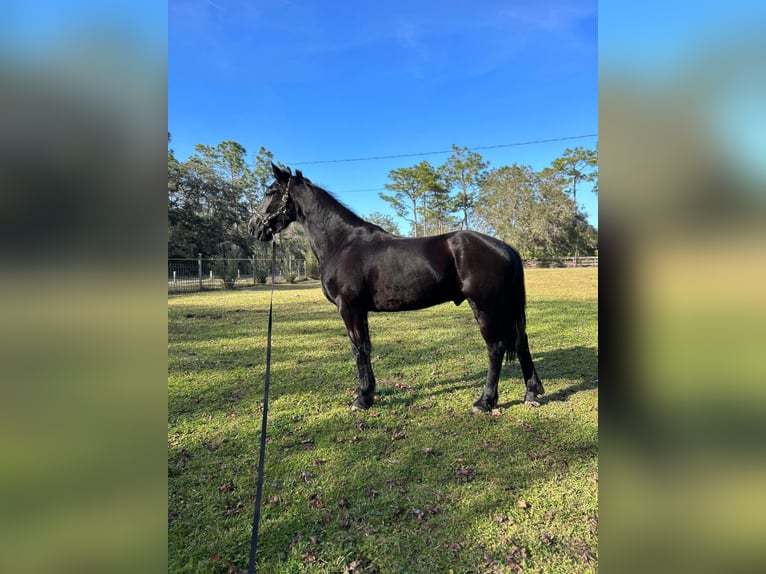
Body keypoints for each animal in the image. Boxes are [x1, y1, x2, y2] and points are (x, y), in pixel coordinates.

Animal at [248, 163, 544, 414]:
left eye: (270, 192)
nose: (253, 227)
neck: (342, 242)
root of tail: (507, 248)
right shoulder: (360, 311)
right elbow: (365, 347)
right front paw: (368, 393)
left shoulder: (349, 308)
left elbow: (359, 350)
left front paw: (362, 399)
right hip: (505, 307)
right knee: (521, 341)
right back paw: (531, 393)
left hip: (485, 308)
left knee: (496, 347)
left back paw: (485, 401)